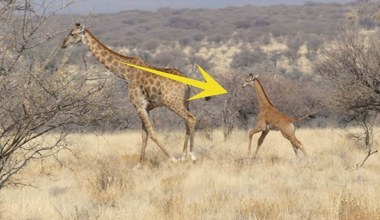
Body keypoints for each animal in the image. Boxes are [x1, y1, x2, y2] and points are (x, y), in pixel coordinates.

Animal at [60, 23, 197, 166]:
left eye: (72, 34)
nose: (63, 44)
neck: (125, 73)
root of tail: (187, 82)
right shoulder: (146, 108)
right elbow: (144, 134)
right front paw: (139, 165)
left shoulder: (139, 105)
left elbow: (151, 133)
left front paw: (172, 159)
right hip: (186, 102)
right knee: (187, 122)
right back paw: (184, 156)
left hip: (172, 102)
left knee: (191, 118)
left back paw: (191, 156)